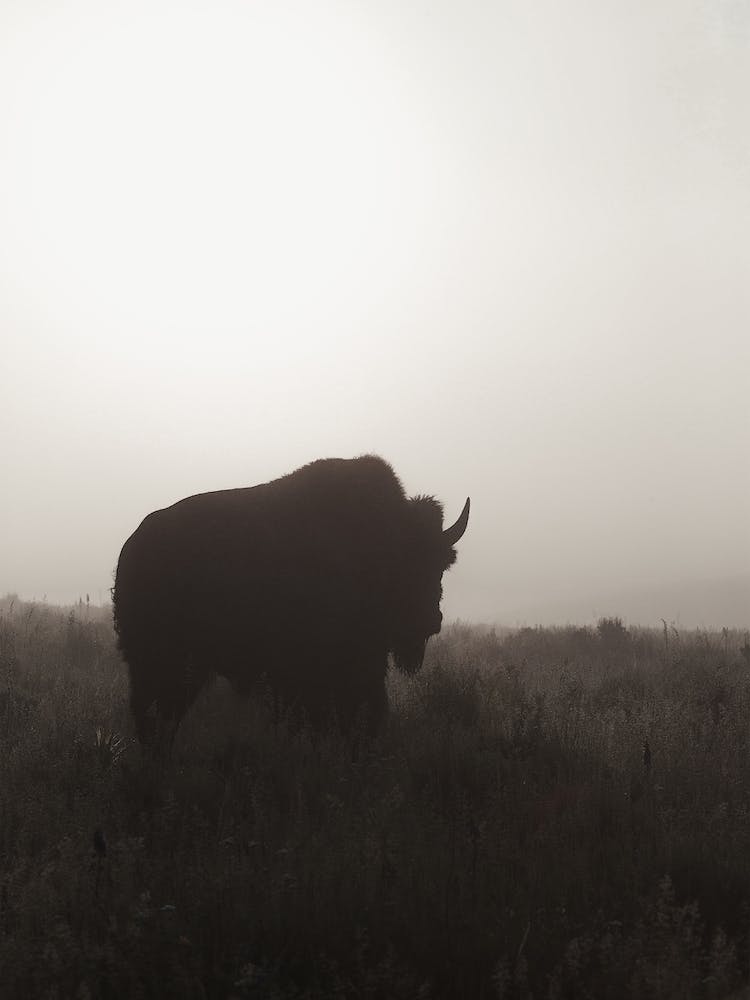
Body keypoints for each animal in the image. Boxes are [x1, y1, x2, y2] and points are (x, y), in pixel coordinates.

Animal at [113, 455, 469, 742]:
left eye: (441, 563)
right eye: (398, 564)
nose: (429, 620)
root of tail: (134, 544)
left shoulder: (364, 667)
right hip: (161, 661)